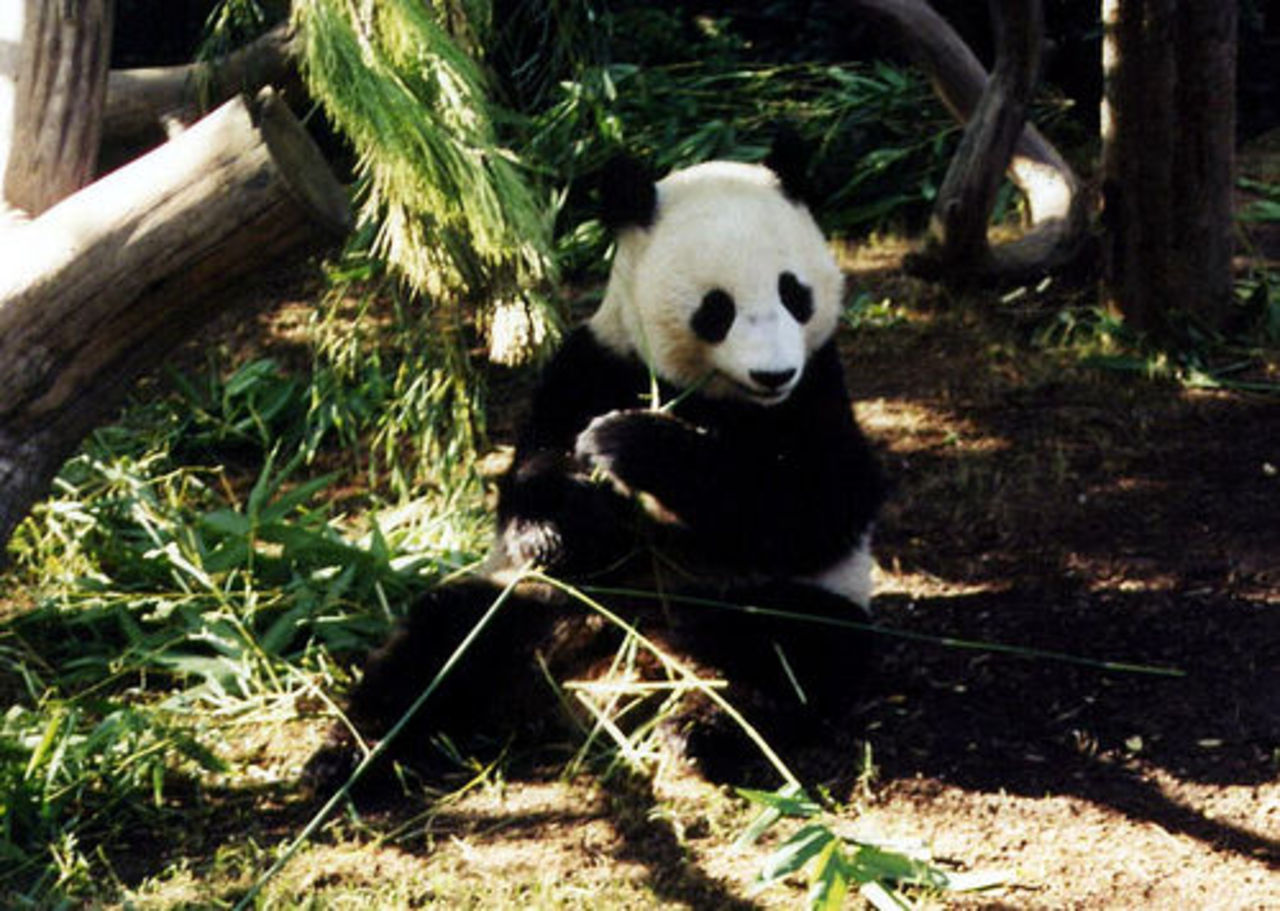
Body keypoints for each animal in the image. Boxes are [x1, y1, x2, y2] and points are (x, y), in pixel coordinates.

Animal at [329, 132, 885, 783]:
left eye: (794, 293)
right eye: (716, 308)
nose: (772, 373)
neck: (720, 398)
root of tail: (607, 678)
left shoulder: (818, 384)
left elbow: (823, 501)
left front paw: (630, 444)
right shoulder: (592, 362)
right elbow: (529, 491)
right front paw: (576, 507)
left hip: (769, 604)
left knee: (794, 647)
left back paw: (699, 730)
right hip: (538, 605)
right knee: (443, 640)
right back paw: (351, 755)